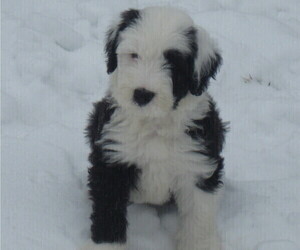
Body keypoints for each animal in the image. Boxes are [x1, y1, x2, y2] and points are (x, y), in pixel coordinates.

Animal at [83, 5, 226, 250]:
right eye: (134, 55)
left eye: (173, 63)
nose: (142, 94)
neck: (154, 125)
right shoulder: (113, 158)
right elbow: (109, 209)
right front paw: (107, 245)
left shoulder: (197, 165)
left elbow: (198, 215)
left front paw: (199, 244)